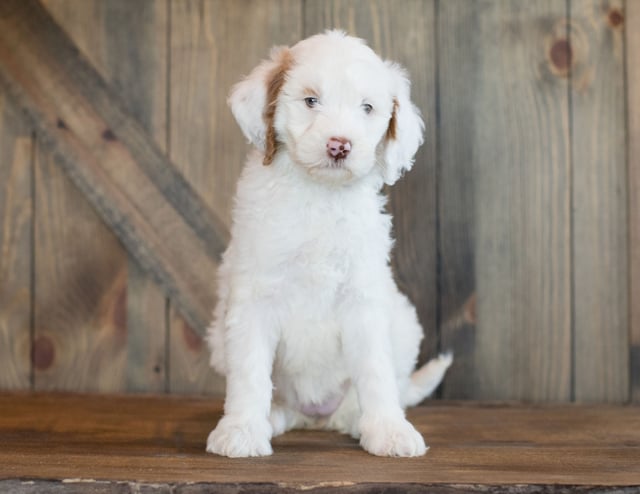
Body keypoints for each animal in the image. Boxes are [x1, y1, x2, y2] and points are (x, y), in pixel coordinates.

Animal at [208, 29, 452, 456]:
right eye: (311, 101)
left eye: (367, 108)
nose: (339, 145)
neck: (320, 195)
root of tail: (315, 417)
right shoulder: (253, 295)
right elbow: (249, 371)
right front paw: (241, 430)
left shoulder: (364, 297)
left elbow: (375, 370)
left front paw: (389, 430)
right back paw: (273, 417)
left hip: (403, 321)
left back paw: (357, 419)